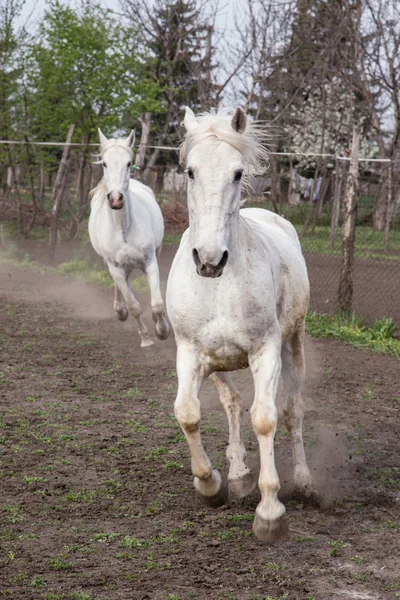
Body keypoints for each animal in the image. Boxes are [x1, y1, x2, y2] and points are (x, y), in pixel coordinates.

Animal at [88, 129, 170, 350]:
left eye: (128, 163)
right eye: (104, 163)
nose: (116, 199)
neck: (123, 229)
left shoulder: (150, 262)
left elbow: (157, 304)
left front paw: (163, 331)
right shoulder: (115, 267)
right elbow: (134, 306)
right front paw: (146, 339)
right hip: (113, 265)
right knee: (122, 286)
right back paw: (120, 310)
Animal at [167, 108, 318, 544]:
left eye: (237, 173)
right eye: (190, 171)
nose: (209, 259)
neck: (219, 284)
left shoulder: (265, 351)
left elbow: (266, 417)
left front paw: (270, 513)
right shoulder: (190, 352)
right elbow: (188, 413)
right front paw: (212, 486)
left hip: (293, 342)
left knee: (293, 410)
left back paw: (304, 482)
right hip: (218, 363)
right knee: (232, 403)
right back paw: (237, 473)